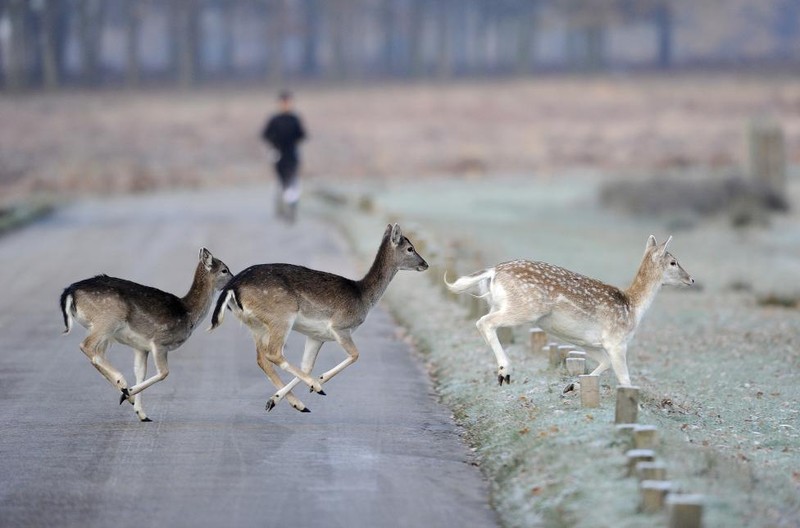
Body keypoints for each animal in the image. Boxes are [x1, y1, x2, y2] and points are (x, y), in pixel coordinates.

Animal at [60, 250, 231, 422]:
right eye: (224, 270)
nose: (233, 280)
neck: (188, 314)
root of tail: (69, 292)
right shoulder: (160, 342)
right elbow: (164, 372)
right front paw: (128, 394)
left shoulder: (141, 347)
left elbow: (140, 373)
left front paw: (142, 413)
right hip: (107, 319)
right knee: (87, 346)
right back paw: (123, 385)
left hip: (102, 330)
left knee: (96, 354)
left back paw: (124, 390)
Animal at [209, 223, 428, 412]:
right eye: (410, 248)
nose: (425, 264)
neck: (362, 297)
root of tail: (232, 287)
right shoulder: (340, 326)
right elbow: (355, 354)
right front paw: (319, 381)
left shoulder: (316, 336)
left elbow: (307, 365)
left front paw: (276, 398)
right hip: (281, 316)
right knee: (273, 353)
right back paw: (314, 388)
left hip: (255, 325)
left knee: (262, 358)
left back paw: (292, 403)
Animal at [444, 235, 692, 388]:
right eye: (673, 262)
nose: (691, 279)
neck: (633, 307)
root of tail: (494, 271)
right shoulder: (616, 341)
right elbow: (625, 379)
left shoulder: (589, 343)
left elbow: (604, 364)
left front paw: (573, 385)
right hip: (525, 307)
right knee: (484, 322)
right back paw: (505, 371)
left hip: (500, 303)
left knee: (484, 322)